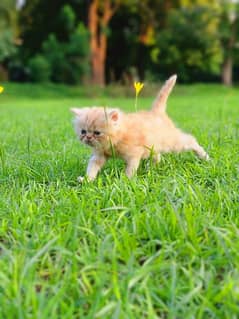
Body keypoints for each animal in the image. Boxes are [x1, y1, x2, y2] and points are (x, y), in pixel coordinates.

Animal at [71, 73, 209, 181]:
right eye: (83, 131)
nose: (88, 137)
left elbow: (130, 169)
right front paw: (87, 179)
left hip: (172, 142)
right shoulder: (99, 156)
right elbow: (92, 167)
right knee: (157, 155)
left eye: (97, 133)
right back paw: (151, 168)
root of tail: (156, 112)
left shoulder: (134, 154)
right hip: (154, 145)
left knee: (190, 139)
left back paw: (204, 157)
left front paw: (126, 181)